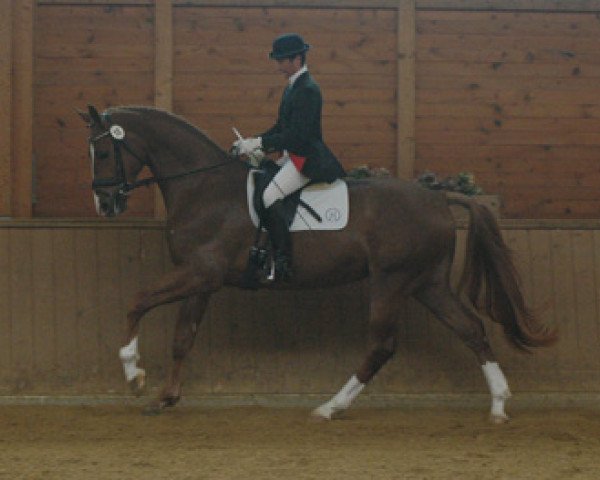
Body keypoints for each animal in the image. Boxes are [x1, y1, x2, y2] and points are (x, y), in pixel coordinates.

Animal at [79, 106, 556, 424]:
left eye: (102, 154)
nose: (105, 203)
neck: (204, 188)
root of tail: (439, 198)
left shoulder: (201, 273)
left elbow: (137, 302)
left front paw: (134, 374)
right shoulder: (202, 280)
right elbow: (183, 338)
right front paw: (165, 397)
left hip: (391, 281)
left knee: (382, 345)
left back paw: (331, 406)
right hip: (428, 284)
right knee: (470, 329)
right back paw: (498, 404)